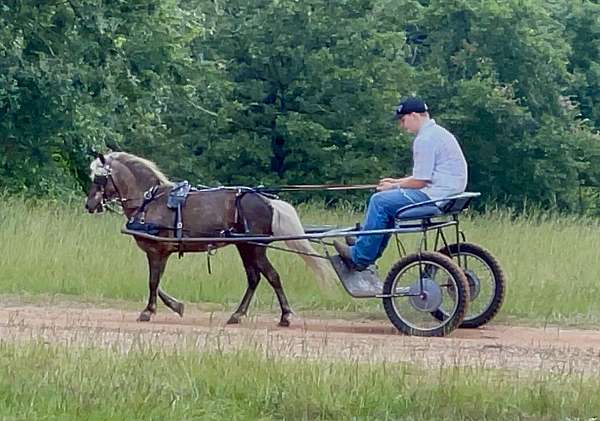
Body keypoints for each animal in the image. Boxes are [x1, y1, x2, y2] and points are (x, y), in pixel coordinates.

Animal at [85, 151, 336, 324]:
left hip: (255, 248)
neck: (150, 201)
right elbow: (156, 283)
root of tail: (268, 201)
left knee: (272, 276)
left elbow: (153, 282)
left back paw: (285, 316)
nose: (89, 204)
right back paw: (237, 315)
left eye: (99, 178)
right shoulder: (161, 252)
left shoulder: (157, 251)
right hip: (245, 247)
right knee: (254, 278)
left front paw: (148, 311)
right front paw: (176, 306)